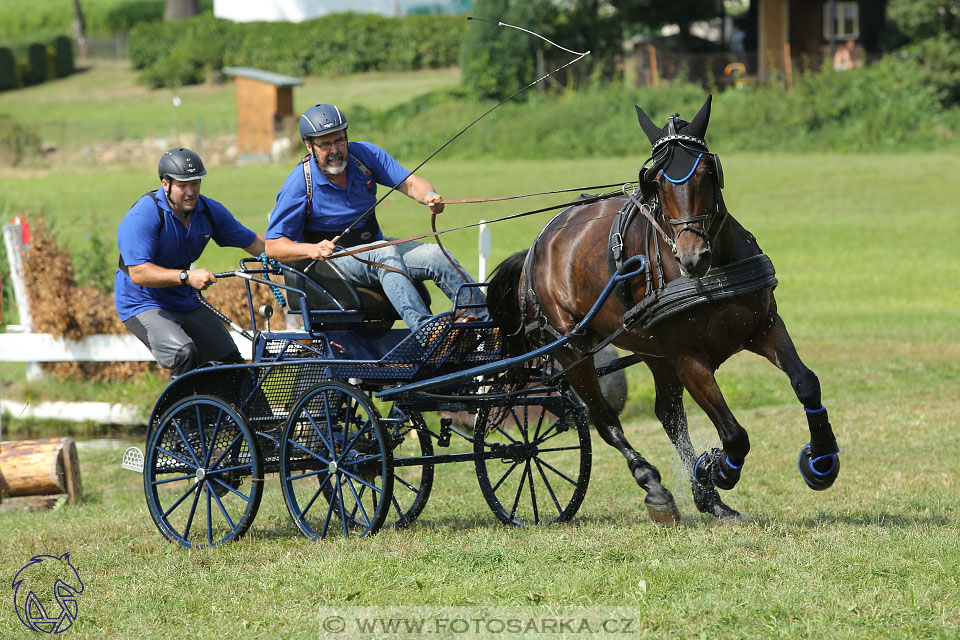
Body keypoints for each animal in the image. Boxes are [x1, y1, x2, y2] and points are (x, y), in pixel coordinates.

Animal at [488, 95, 840, 524]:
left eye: (707, 171)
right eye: (654, 181)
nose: (693, 257)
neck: (711, 273)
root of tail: (536, 250)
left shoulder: (764, 327)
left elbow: (806, 382)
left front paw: (821, 460)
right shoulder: (689, 359)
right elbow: (734, 434)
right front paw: (718, 469)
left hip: (651, 351)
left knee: (668, 415)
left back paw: (708, 499)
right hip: (573, 350)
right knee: (605, 420)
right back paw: (656, 488)